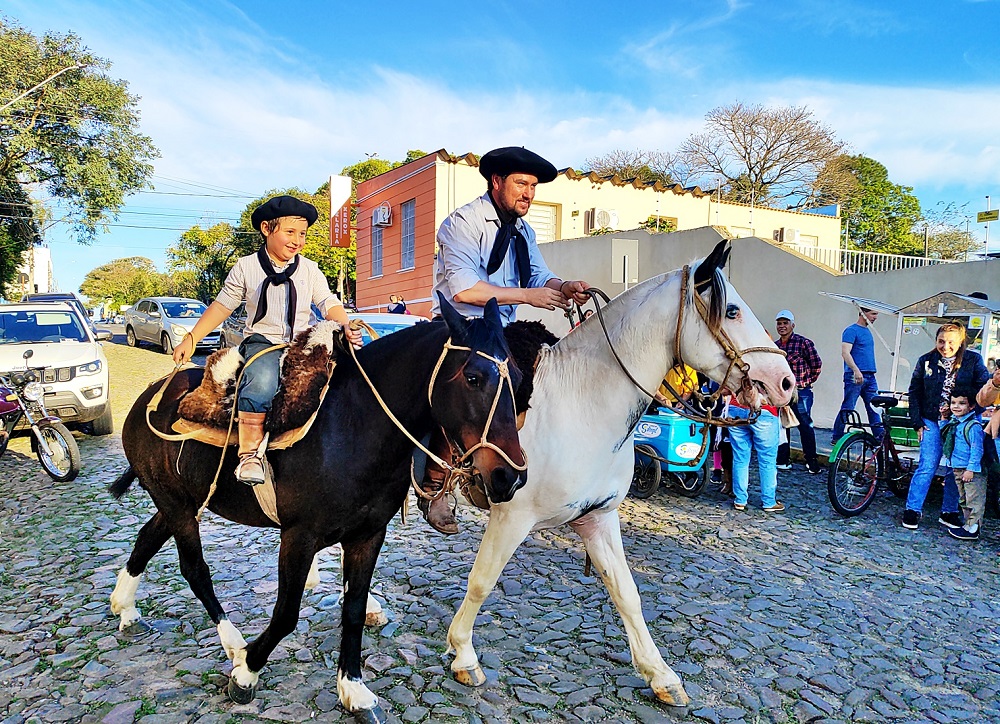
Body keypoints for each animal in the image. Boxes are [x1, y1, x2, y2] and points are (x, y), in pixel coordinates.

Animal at [106, 296, 528, 720]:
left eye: (519, 375)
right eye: (473, 377)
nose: (509, 476)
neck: (354, 426)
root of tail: (151, 397)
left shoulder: (367, 535)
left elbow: (353, 609)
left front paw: (353, 688)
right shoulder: (299, 537)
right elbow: (286, 613)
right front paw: (246, 672)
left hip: (180, 502)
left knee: (146, 538)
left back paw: (124, 607)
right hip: (177, 506)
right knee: (195, 570)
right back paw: (232, 643)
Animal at [450, 242, 792, 708]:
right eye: (734, 311)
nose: (786, 382)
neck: (582, 403)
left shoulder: (598, 517)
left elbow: (626, 594)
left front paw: (661, 675)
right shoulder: (511, 517)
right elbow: (482, 581)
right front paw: (463, 654)